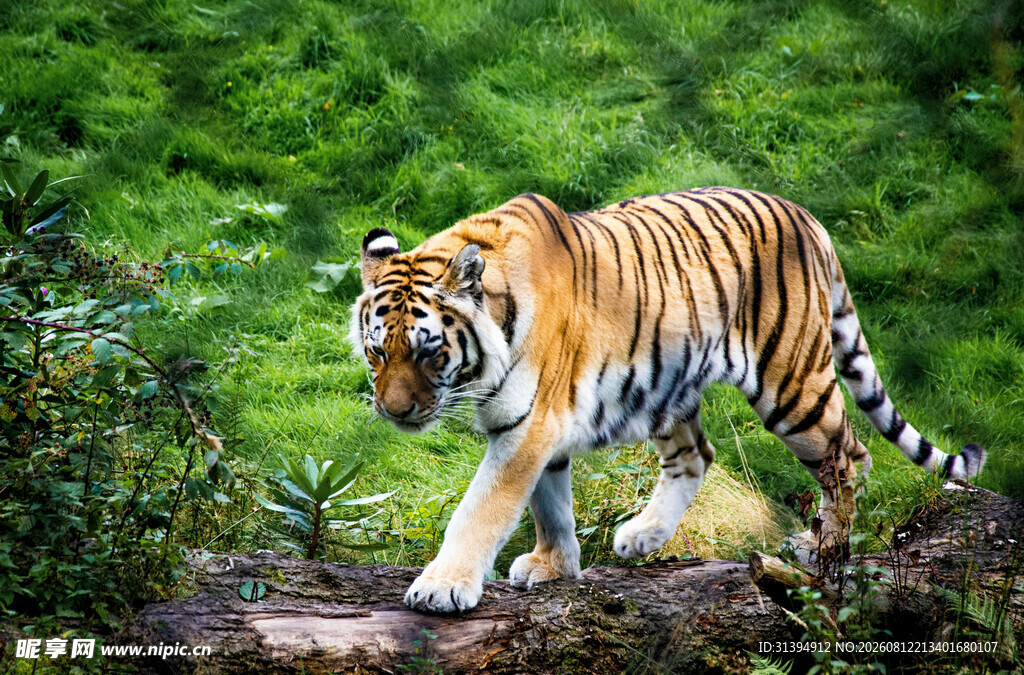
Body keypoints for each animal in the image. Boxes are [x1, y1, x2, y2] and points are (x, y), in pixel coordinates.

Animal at [349, 187, 985, 614]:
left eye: (429, 353)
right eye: (378, 352)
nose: (394, 412)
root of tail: (807, 218)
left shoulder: (529, 425)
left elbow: (482, 508)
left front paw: (442, 586)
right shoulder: (539, 427)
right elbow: (550, 504)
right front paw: (555, 566)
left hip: (792, 388)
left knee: (850, 457)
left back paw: (822, 549)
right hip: (664, 386)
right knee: (696, 455)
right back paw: (644, 536)